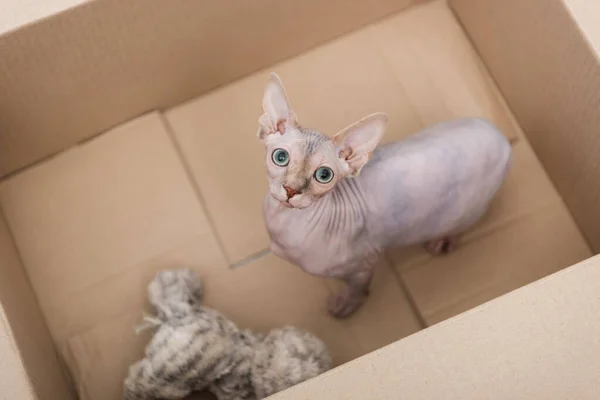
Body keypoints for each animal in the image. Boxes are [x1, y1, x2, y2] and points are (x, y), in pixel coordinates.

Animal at [258, 73, 510, 318]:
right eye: (280, 157)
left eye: (324, 175)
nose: (291, 190)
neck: (283, 225)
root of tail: (506, 140)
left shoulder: (362, 267)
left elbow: (358, 292)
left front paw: (344, 308)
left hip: (467, 211)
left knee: (460, 228)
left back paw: (441, 242)